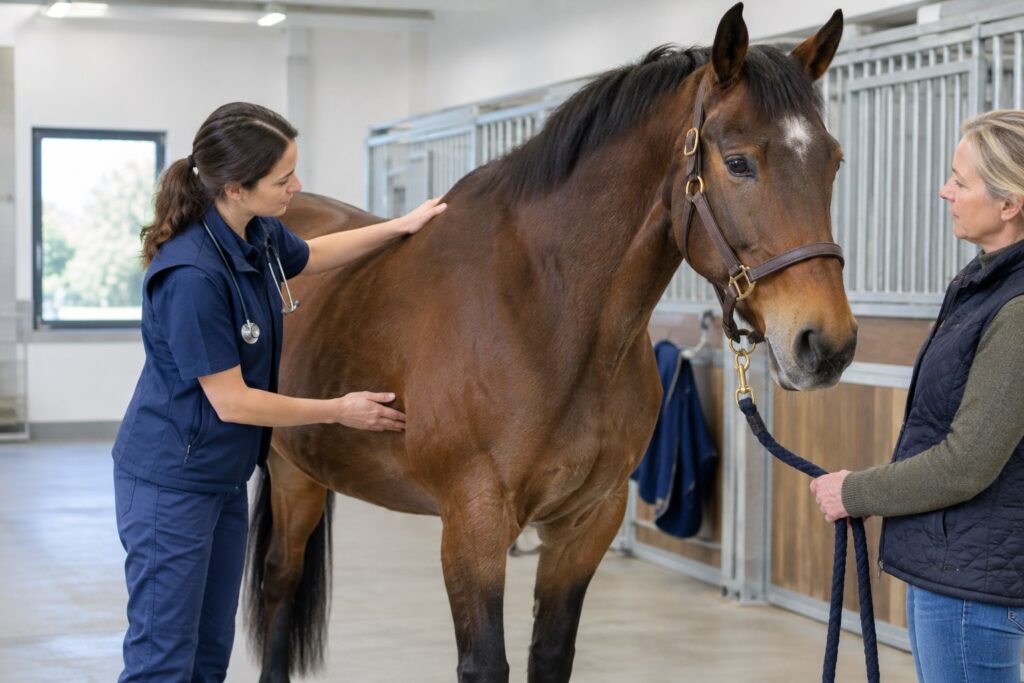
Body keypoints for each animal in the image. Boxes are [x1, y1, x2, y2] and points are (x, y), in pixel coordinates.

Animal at [247, 4, 856, 681]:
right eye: (739, 162)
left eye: (833, 161)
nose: (825, 344)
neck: (546, 314)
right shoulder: (474, 523)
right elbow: (486, 662)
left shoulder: (586, 523)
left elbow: (552, 653)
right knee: (279, 586)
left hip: (300, 471)